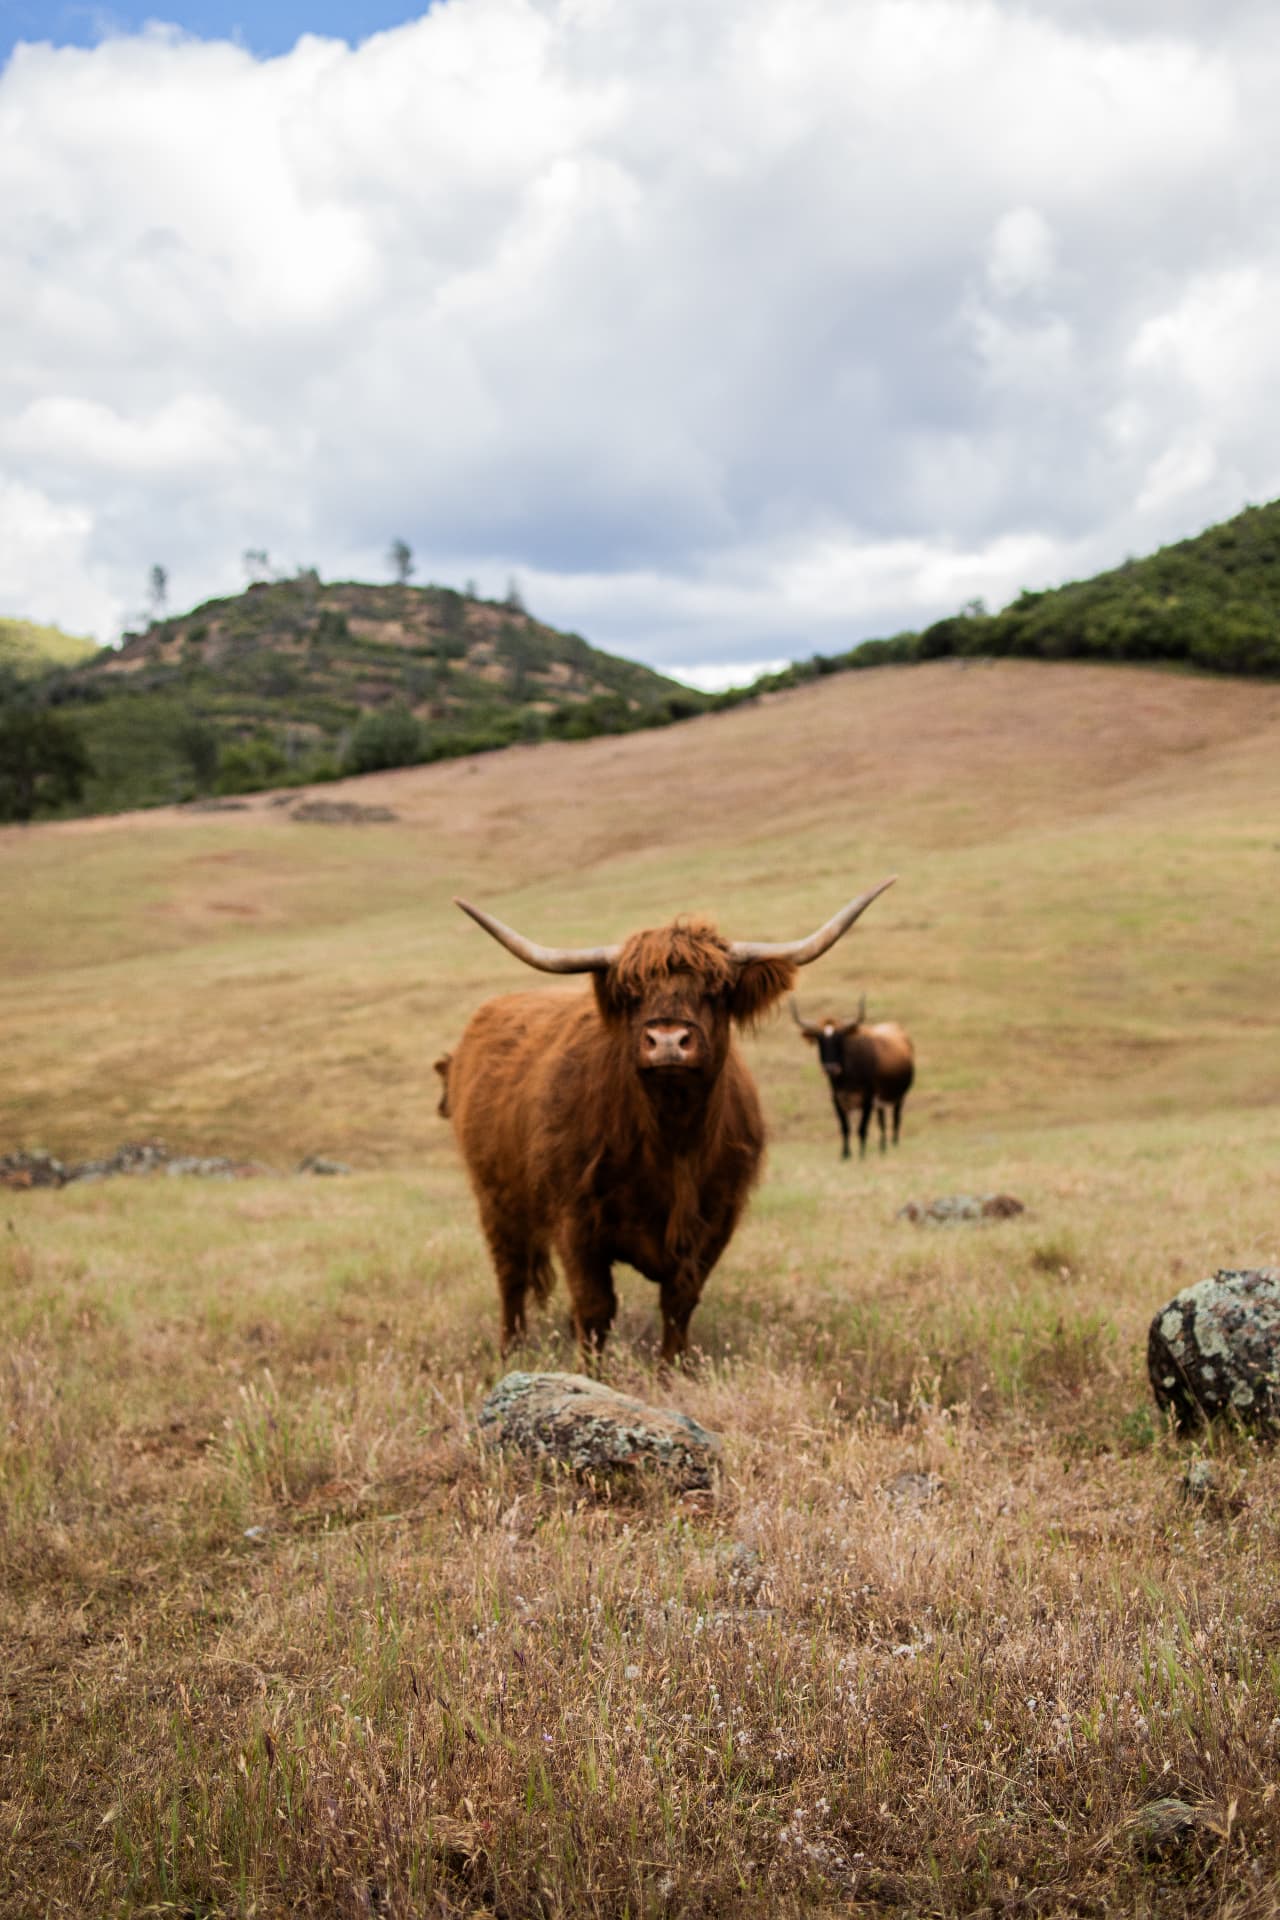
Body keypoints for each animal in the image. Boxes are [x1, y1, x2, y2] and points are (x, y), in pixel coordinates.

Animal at [444, 880, 895, 1362]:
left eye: (717, 989)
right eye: (631, 991)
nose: (667, 1040)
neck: (672, 1140)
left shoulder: (714, 1221)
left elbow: (679, 1303)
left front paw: (671, 1368)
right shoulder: (575, 1220)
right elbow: (595, 1306)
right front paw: (592, 1371)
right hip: (496, 1202)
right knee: (510, 1278)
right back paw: (510, 1351)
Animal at [791, 997, 915, 1161]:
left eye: (840, 1039)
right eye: (819, 1040)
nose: (831, 1068)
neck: (847, 1077)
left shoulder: (868, 1100)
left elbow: (862, 1128)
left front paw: (861, 1155)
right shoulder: (838, 1100)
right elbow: (845, 1128)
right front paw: (845, 1155)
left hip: (899, 1096)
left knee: (896, 1118)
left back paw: (894, 1144)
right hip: (880, 1101)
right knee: (881, 1121)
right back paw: (882, 1148)